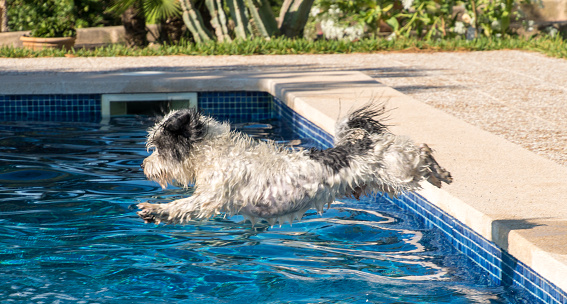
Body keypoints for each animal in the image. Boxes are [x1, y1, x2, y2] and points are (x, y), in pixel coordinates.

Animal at [138, 104, 452, 226]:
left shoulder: (210, 198)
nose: (144, 165)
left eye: (158, 147)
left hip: (399, 169)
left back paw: (440, 172)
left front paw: (155, 210)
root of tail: (364, 141)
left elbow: (181, 206)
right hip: (388, 180)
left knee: (422, 151)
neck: (216, 154)